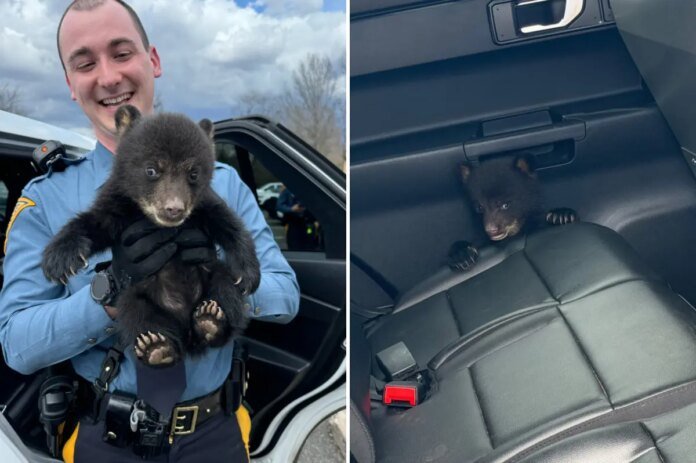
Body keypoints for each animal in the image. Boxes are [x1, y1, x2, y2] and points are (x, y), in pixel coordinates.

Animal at [41, 105, 260, 367]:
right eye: (152, 169)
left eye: (193, 173)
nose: (174, 209)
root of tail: (186, 332)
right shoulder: (119, 204)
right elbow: (96, 223)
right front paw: (59, 260)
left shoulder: (203, 205)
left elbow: (229, 224)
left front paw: (248, 275)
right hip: (136, 297)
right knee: (135, 313)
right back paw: (157, 347)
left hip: (213, 275)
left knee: (226, 290)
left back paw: (211, 320)